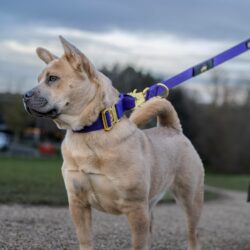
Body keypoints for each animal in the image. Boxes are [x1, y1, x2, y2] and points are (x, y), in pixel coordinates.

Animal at [23, 36, 203, 250]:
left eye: (52, 78)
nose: (24, 96)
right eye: (39, 80)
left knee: (192, 235)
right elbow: (85, 240)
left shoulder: (136, 208)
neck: (91, 130)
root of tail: (173, 129)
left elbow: (138, 245)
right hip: (151, 204)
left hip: (190, 201)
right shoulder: (78, 203)